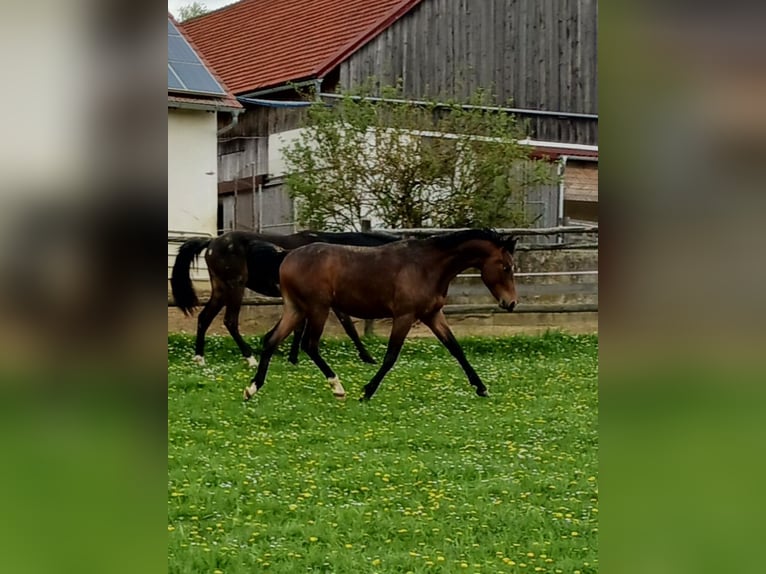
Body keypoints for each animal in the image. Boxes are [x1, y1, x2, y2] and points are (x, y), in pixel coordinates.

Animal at [170, 229, 401, 367]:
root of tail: (212, 242)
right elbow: (348, 327)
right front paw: (369, 358)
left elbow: (299, 327)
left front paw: (290, 355)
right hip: (235, 286)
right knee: (230, 321)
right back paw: (250, 358)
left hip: (220, 289)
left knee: (204, 318)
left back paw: (200, 358)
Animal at [243, 228, 518, 402]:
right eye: (505, 267)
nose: (511, 303)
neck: (428, 266)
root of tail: (287, 256)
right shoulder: (405, 316)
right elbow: (390, 357)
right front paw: (366, 392)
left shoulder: (432, 315)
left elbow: (456, 349)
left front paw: (481, 388)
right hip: (317, 308)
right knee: (309, 345)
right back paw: (338, 387)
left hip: (296, 309)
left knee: (271, 341)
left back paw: (252, 388)